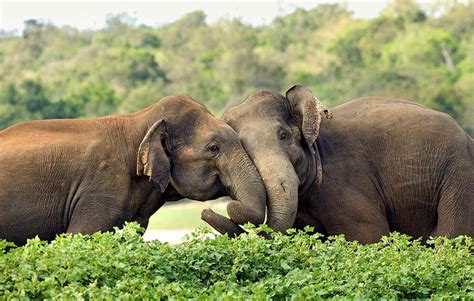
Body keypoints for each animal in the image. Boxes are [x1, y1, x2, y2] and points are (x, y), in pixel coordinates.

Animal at [201, 85, 474, 244]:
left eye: (283, 136)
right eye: (243, 147)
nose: (206, 212)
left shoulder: (347, 184)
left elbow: (368, 238)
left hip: (459, 177)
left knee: (452, 237)